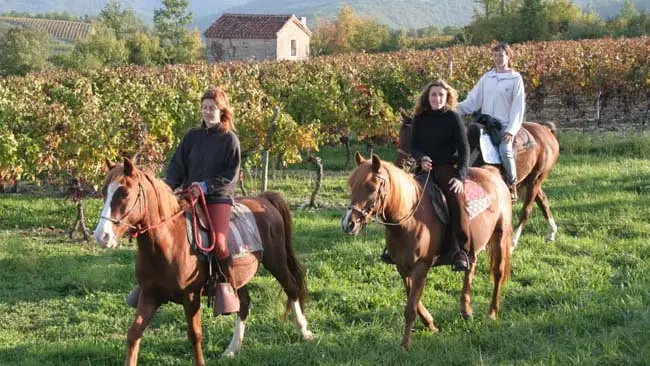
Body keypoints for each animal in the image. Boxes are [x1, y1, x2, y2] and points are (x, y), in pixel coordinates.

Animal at [92, 158, 312, 366]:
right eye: (103, 191)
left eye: (124, 193)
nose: (101, 236)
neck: (169, 242)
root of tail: (262, 199)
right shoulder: (149, 295)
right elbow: (134, 334)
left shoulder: (191, 295)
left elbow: (194, 334)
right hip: (238, 277)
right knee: (244, 304)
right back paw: (232, 349)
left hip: (276, 261)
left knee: (291, 288)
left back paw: (304, 331)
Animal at [340, 153, 512, 350]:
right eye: (352, 186)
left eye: (371, 187)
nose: (348, 224)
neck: (410, 220)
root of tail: (493, 174)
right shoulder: (403, 268)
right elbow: (413, 300)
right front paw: (430, 324)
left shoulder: (421, 268)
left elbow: (410, 308)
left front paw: (405, 344)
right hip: (473, 248)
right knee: (470, 269)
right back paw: (466, 310)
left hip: (500, 237)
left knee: (498, 274)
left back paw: (492, 313)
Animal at [394, 112, 556, 249]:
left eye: (413, 137)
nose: (399, 165)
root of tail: (546, 131)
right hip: (530, 181)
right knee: (543, 200)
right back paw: (552, 232)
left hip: (536, 179)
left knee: (526, 210)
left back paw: (514, 240)